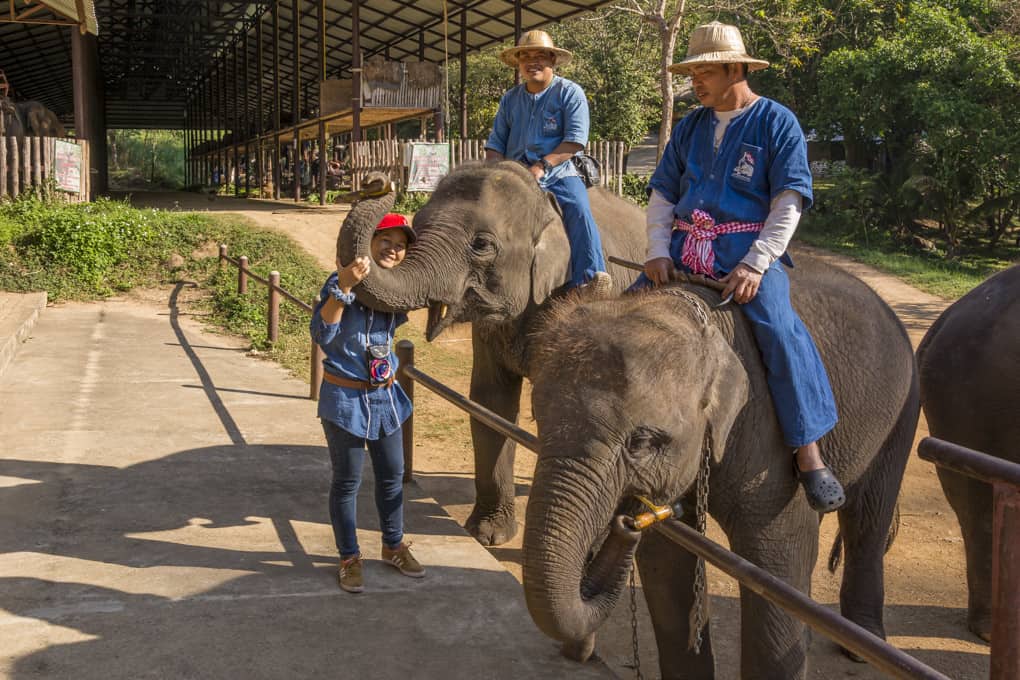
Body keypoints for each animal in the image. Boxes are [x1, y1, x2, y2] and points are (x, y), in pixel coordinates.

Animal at [338, 162, 648, 546]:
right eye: (417, 226)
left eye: (482, 245)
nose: (374, 181)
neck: (545, 204)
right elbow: (490, 402)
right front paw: (487, 534)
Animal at [522, 254, 922, 680]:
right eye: (538, 420)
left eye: (641, 442)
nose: (625, 523)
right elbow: (667, 560)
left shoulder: (765, 431)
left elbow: (778, 557)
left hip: (903, 405)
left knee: (868, 516)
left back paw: (863, 644)